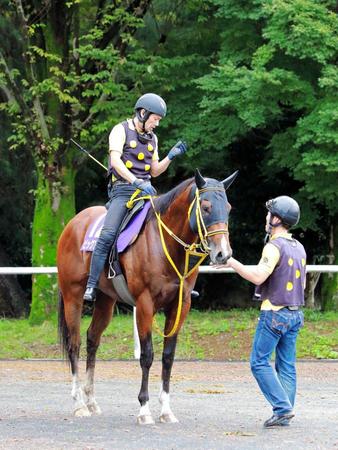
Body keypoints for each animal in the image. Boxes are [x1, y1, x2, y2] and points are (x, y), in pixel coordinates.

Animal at [56, 170, 238, 426]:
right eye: (206, 207)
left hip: (106, 301)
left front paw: (166, 410)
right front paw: (144, 409)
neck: (163, 244)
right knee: (75, 344)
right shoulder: (144, 304)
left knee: (92, 340)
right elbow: (147, 355)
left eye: (228, 208)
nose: (223, 254)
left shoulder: (180, 306)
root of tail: (73, 224)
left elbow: (168, 357)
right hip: (73, 296)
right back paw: (79, 404)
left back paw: (91, 401)